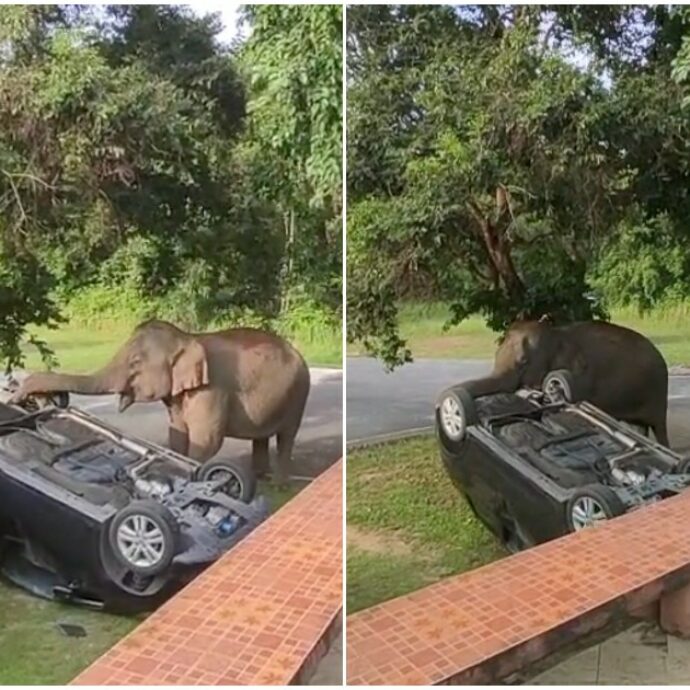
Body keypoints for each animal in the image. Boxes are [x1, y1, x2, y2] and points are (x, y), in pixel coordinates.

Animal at [10, 320, 310, 482]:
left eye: (135, 362)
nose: (20, 393)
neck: (187, 339)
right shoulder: (178, 396)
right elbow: (177, 434)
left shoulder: (212, 390)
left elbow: (206, 441)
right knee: (262, 438)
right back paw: (262, 479)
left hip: (299, 394)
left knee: (287, 436)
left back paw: (279, 485)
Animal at [456, 318, 668, 444]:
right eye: (496, 354)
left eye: (524, 361)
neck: (557, 334)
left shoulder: (580, 378)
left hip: (657, 393)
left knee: (659, 427)